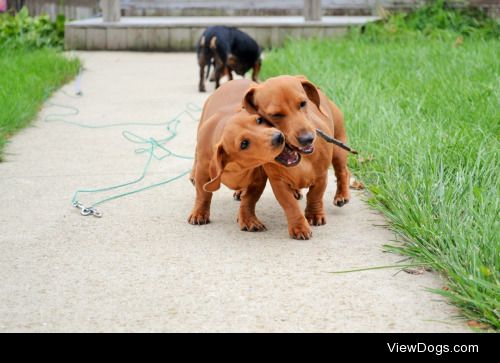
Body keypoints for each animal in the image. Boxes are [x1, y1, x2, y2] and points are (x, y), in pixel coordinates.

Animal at [189, 80, 286, 232]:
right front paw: (199, 213)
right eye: (244, 144)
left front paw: (248, 218)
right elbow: (203, 193)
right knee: (195, 153)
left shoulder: (258, 179)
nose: (279, 137)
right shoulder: (203, 171)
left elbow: (249, 200)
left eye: (259, 120)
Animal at [244, 75, 350, 240]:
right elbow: (290, 205)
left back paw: (342, 195)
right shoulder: (278, 183)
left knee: (343, 172)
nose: (308, 139)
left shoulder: (321, 176)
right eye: (276, 115)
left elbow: (315, 195)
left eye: (303, 103)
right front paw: (299, 226)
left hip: (339, 149)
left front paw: (314, 215)